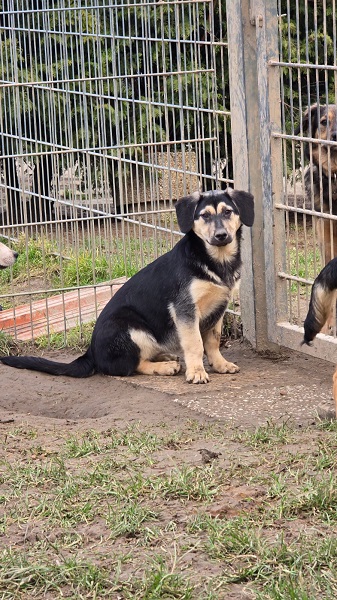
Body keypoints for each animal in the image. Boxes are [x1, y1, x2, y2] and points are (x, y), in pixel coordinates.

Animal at [0, 190, 252, 382]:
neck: (215, 260)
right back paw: (164, 367)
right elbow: (195, 343)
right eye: (204, 216)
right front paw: (197, 372)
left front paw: (220, 364)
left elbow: (212, 340)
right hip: (131, 328)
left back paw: (165, 357)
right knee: (128, 366)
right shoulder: (185, 310)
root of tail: (90, 353)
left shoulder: (218, 307)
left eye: (228, 212)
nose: (221, 236)